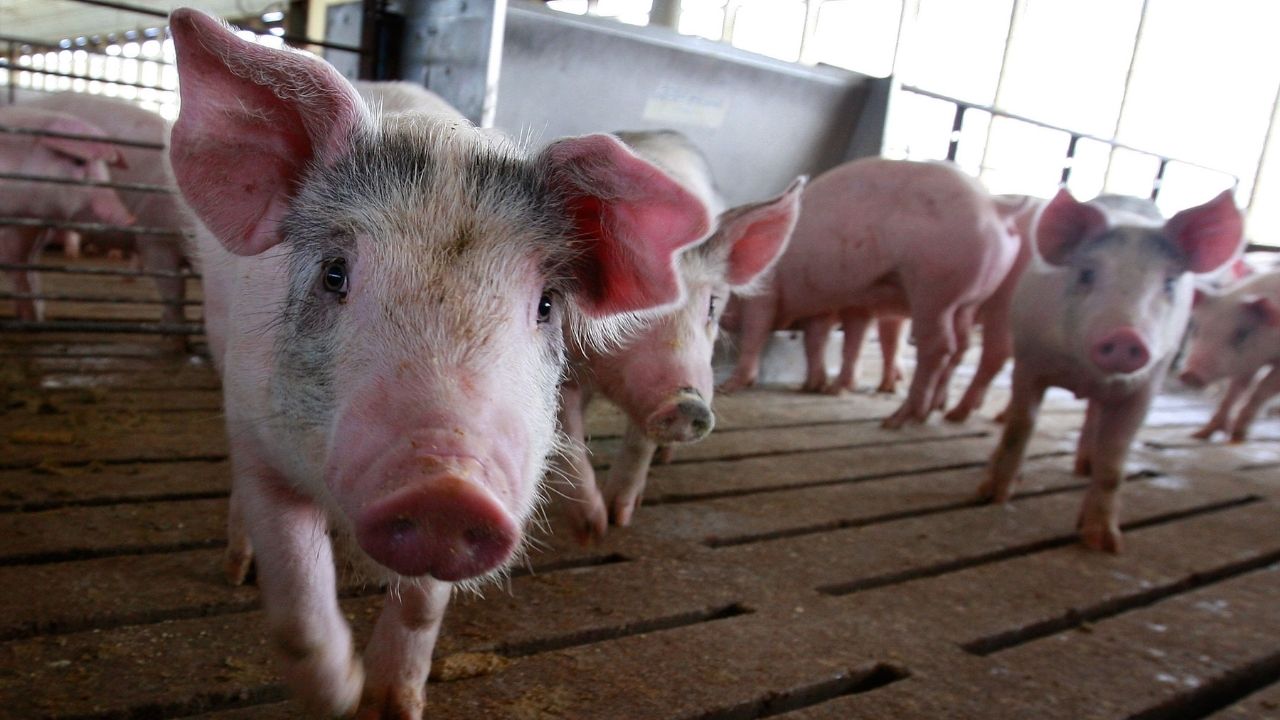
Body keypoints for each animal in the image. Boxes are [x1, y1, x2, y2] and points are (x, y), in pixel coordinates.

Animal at [168, 9, 709, 719]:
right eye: (335, 273)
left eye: (546, 304)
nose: (446, 488)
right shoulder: (260, 434)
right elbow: (297, 613)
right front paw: (343, 697)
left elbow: (422, 609)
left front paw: (390, 704)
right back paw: (237, 569)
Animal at [556, 129, 803, 542]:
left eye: (712, 305)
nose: (688, 404)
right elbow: (567, 436)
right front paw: (591, 528)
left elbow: (639, 443)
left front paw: (619, 517)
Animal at [721, 159, 1020, 428]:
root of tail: (994, 206)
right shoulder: (825, 304)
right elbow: (817, 340)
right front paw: (814, 385)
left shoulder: (766, 295)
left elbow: (755, 334)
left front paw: (731, 386)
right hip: (966, 301)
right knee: (962, 345)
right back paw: (936, 411)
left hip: (935, 290)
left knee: (941, 346)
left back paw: (899, 420)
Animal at [980, 190, 1242, 552]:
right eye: (1087, 274)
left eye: (1169, 282)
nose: (1125, 336)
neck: (1085, 374)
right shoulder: (1030, 360)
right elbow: (1019, 428)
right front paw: (992, 497)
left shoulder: (1146, 386)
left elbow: (1115, 459)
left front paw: (1104, 544)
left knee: (1094, 417)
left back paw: (1085, 467)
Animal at [1179, 269, 1280, 442]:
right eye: (1196, 329)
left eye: (1241, 335)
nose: (1190, 374)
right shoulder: (1249, 362)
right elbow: (1235, 390)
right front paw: (1198, 435)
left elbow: (1263, 388)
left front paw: (1237, 437)